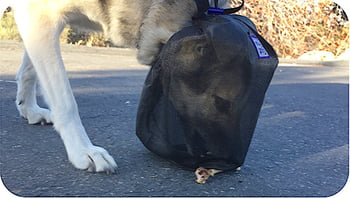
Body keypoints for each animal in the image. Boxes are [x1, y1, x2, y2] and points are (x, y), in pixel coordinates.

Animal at [0, 0, 230, 173]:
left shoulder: (38, 22)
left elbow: (30, 70)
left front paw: (29, 109)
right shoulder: (40, 15)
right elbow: (65, 100)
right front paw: (83, 150)